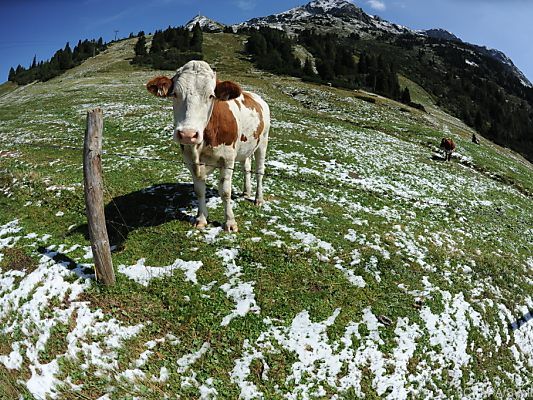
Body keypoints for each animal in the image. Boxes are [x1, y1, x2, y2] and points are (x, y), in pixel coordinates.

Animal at [147, 61, 268, 233]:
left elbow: (225, 192)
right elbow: (199, 190)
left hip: (262, 142)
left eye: (211, 96)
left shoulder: (228, 159)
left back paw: (258, 198)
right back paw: (246, 191)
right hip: (246, 148)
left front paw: (230, 222)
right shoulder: (191, 160)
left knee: (259, 172)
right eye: (175, 94)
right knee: (246, 167)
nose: (188, 134)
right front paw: (201, 219)